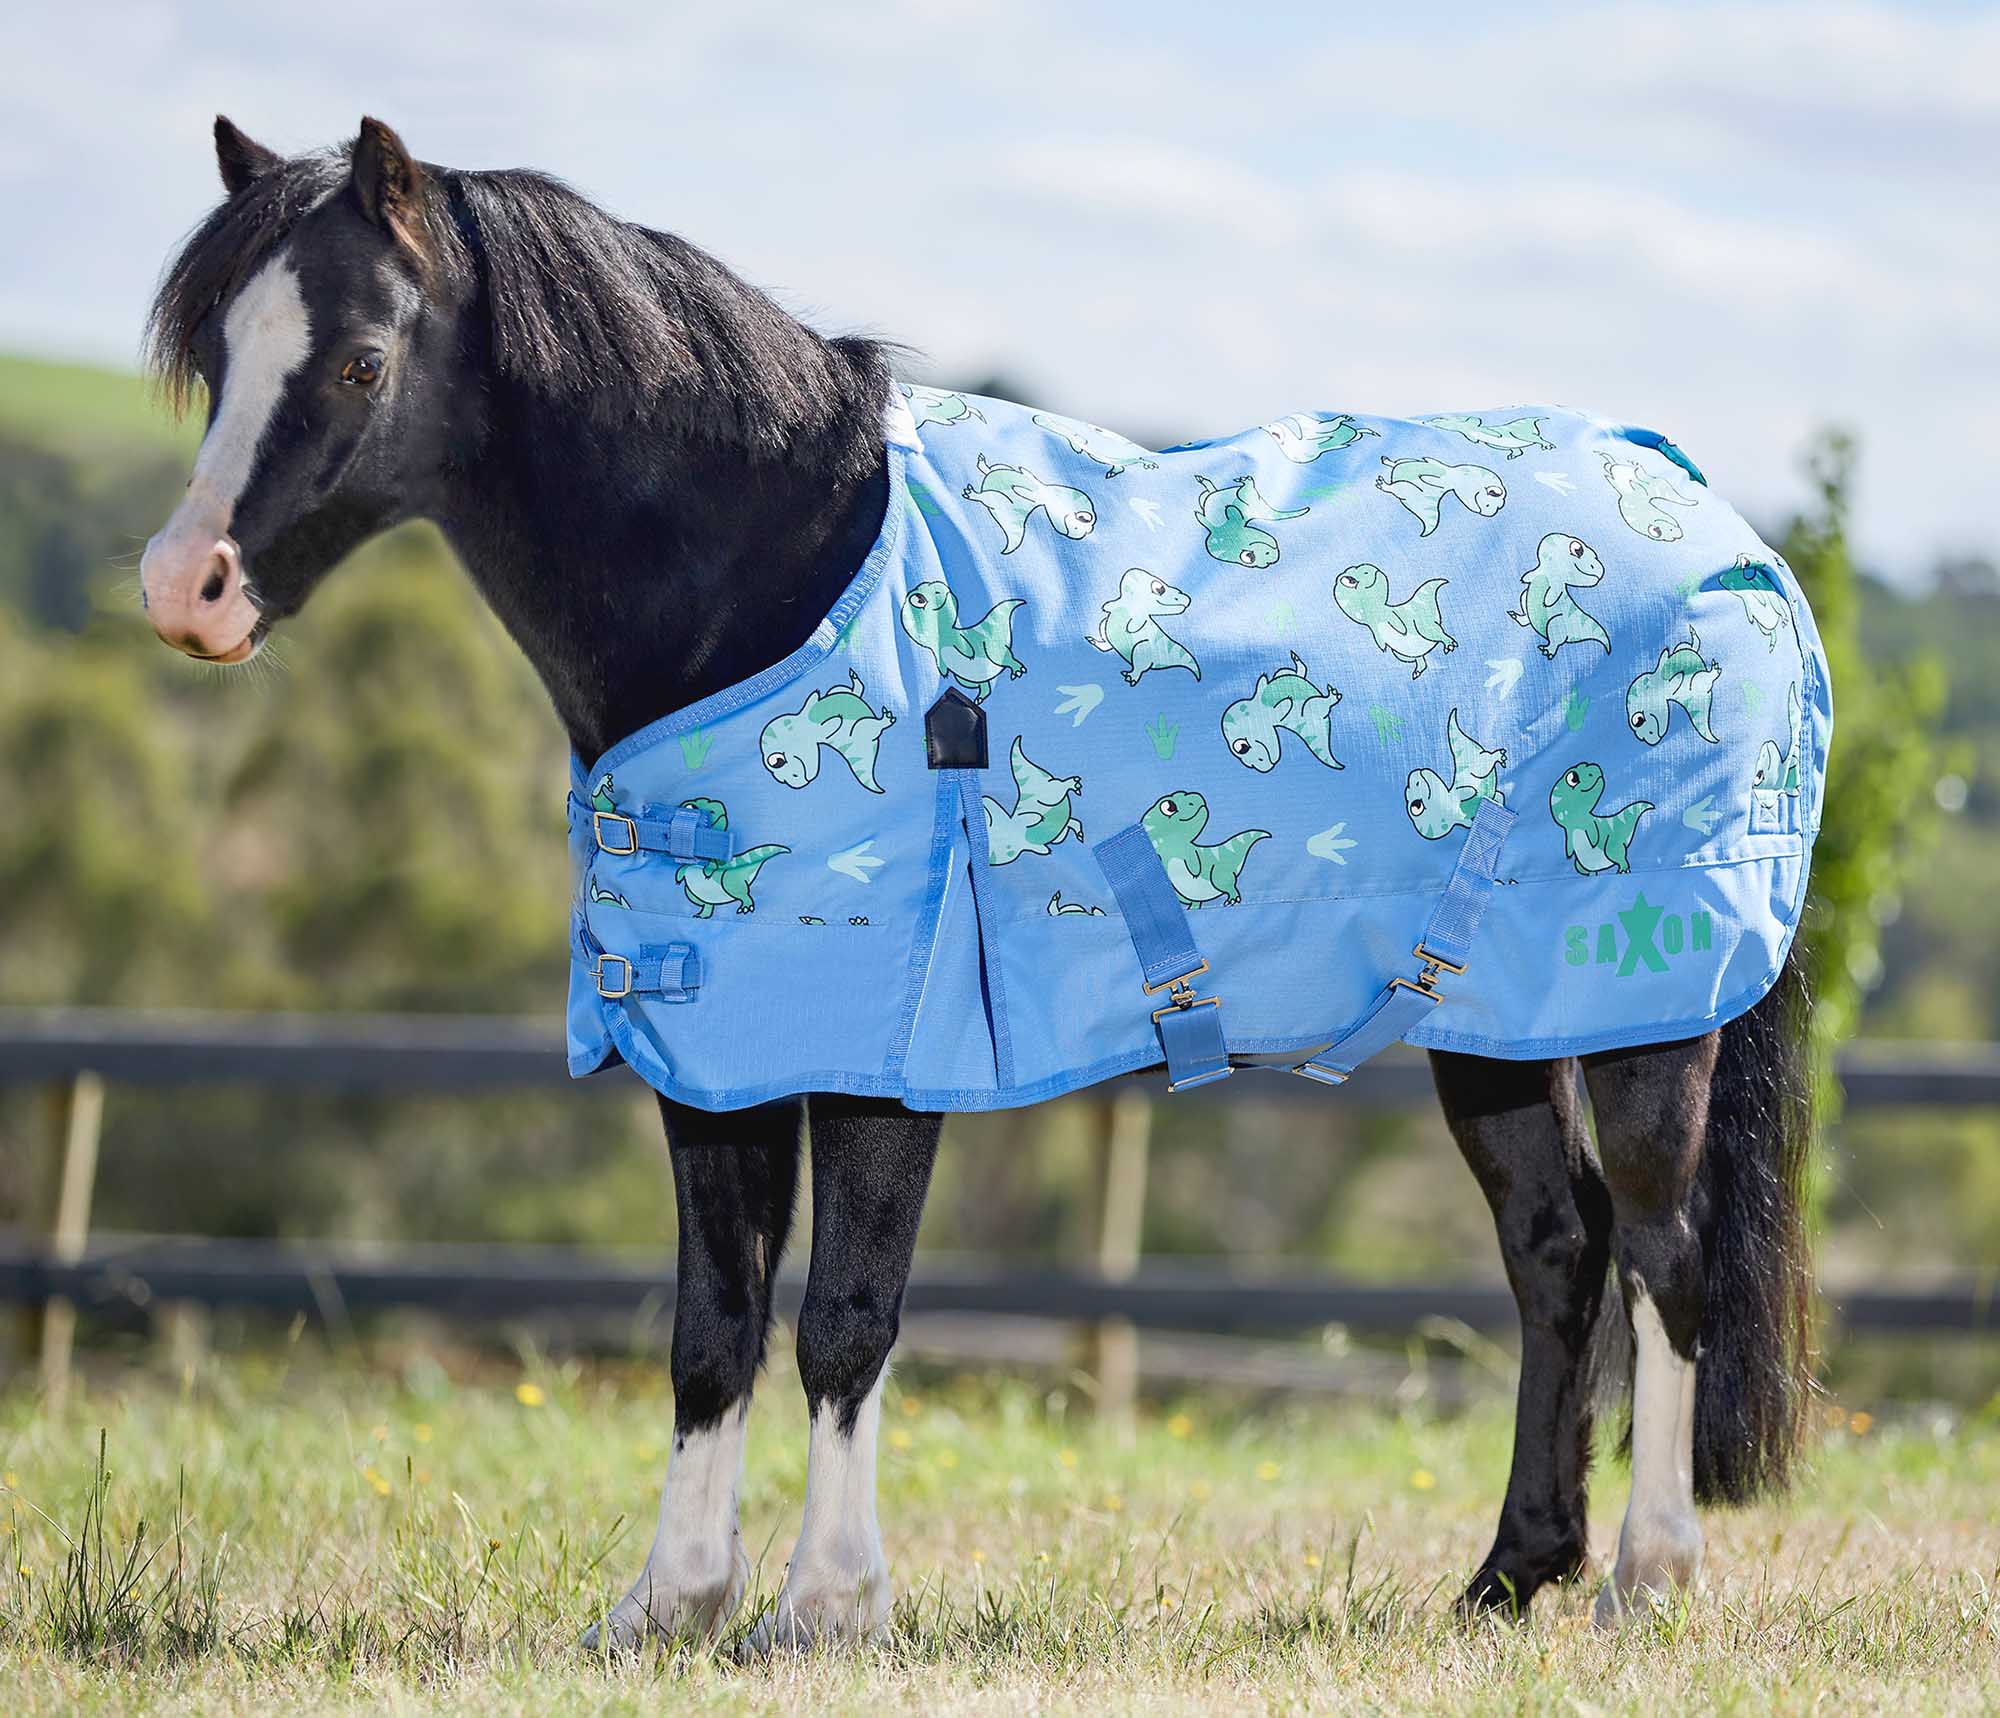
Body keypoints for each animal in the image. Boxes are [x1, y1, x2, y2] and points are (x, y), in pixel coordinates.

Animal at [137, 117, 1815, 1648]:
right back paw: (1511, 1575)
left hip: (1646, 1004)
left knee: (1663, 1256)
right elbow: (711, 1327)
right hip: (1495, 1018)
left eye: (361, 361)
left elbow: (842, 1320)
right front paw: (670, 1603)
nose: (184, 588)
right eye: (215, 355)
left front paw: (826, 1606)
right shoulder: (724, 1043)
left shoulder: (892, 1045)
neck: (779, 580)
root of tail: (1715, 522)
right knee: (1559, 1250)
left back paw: (1649, 1581)